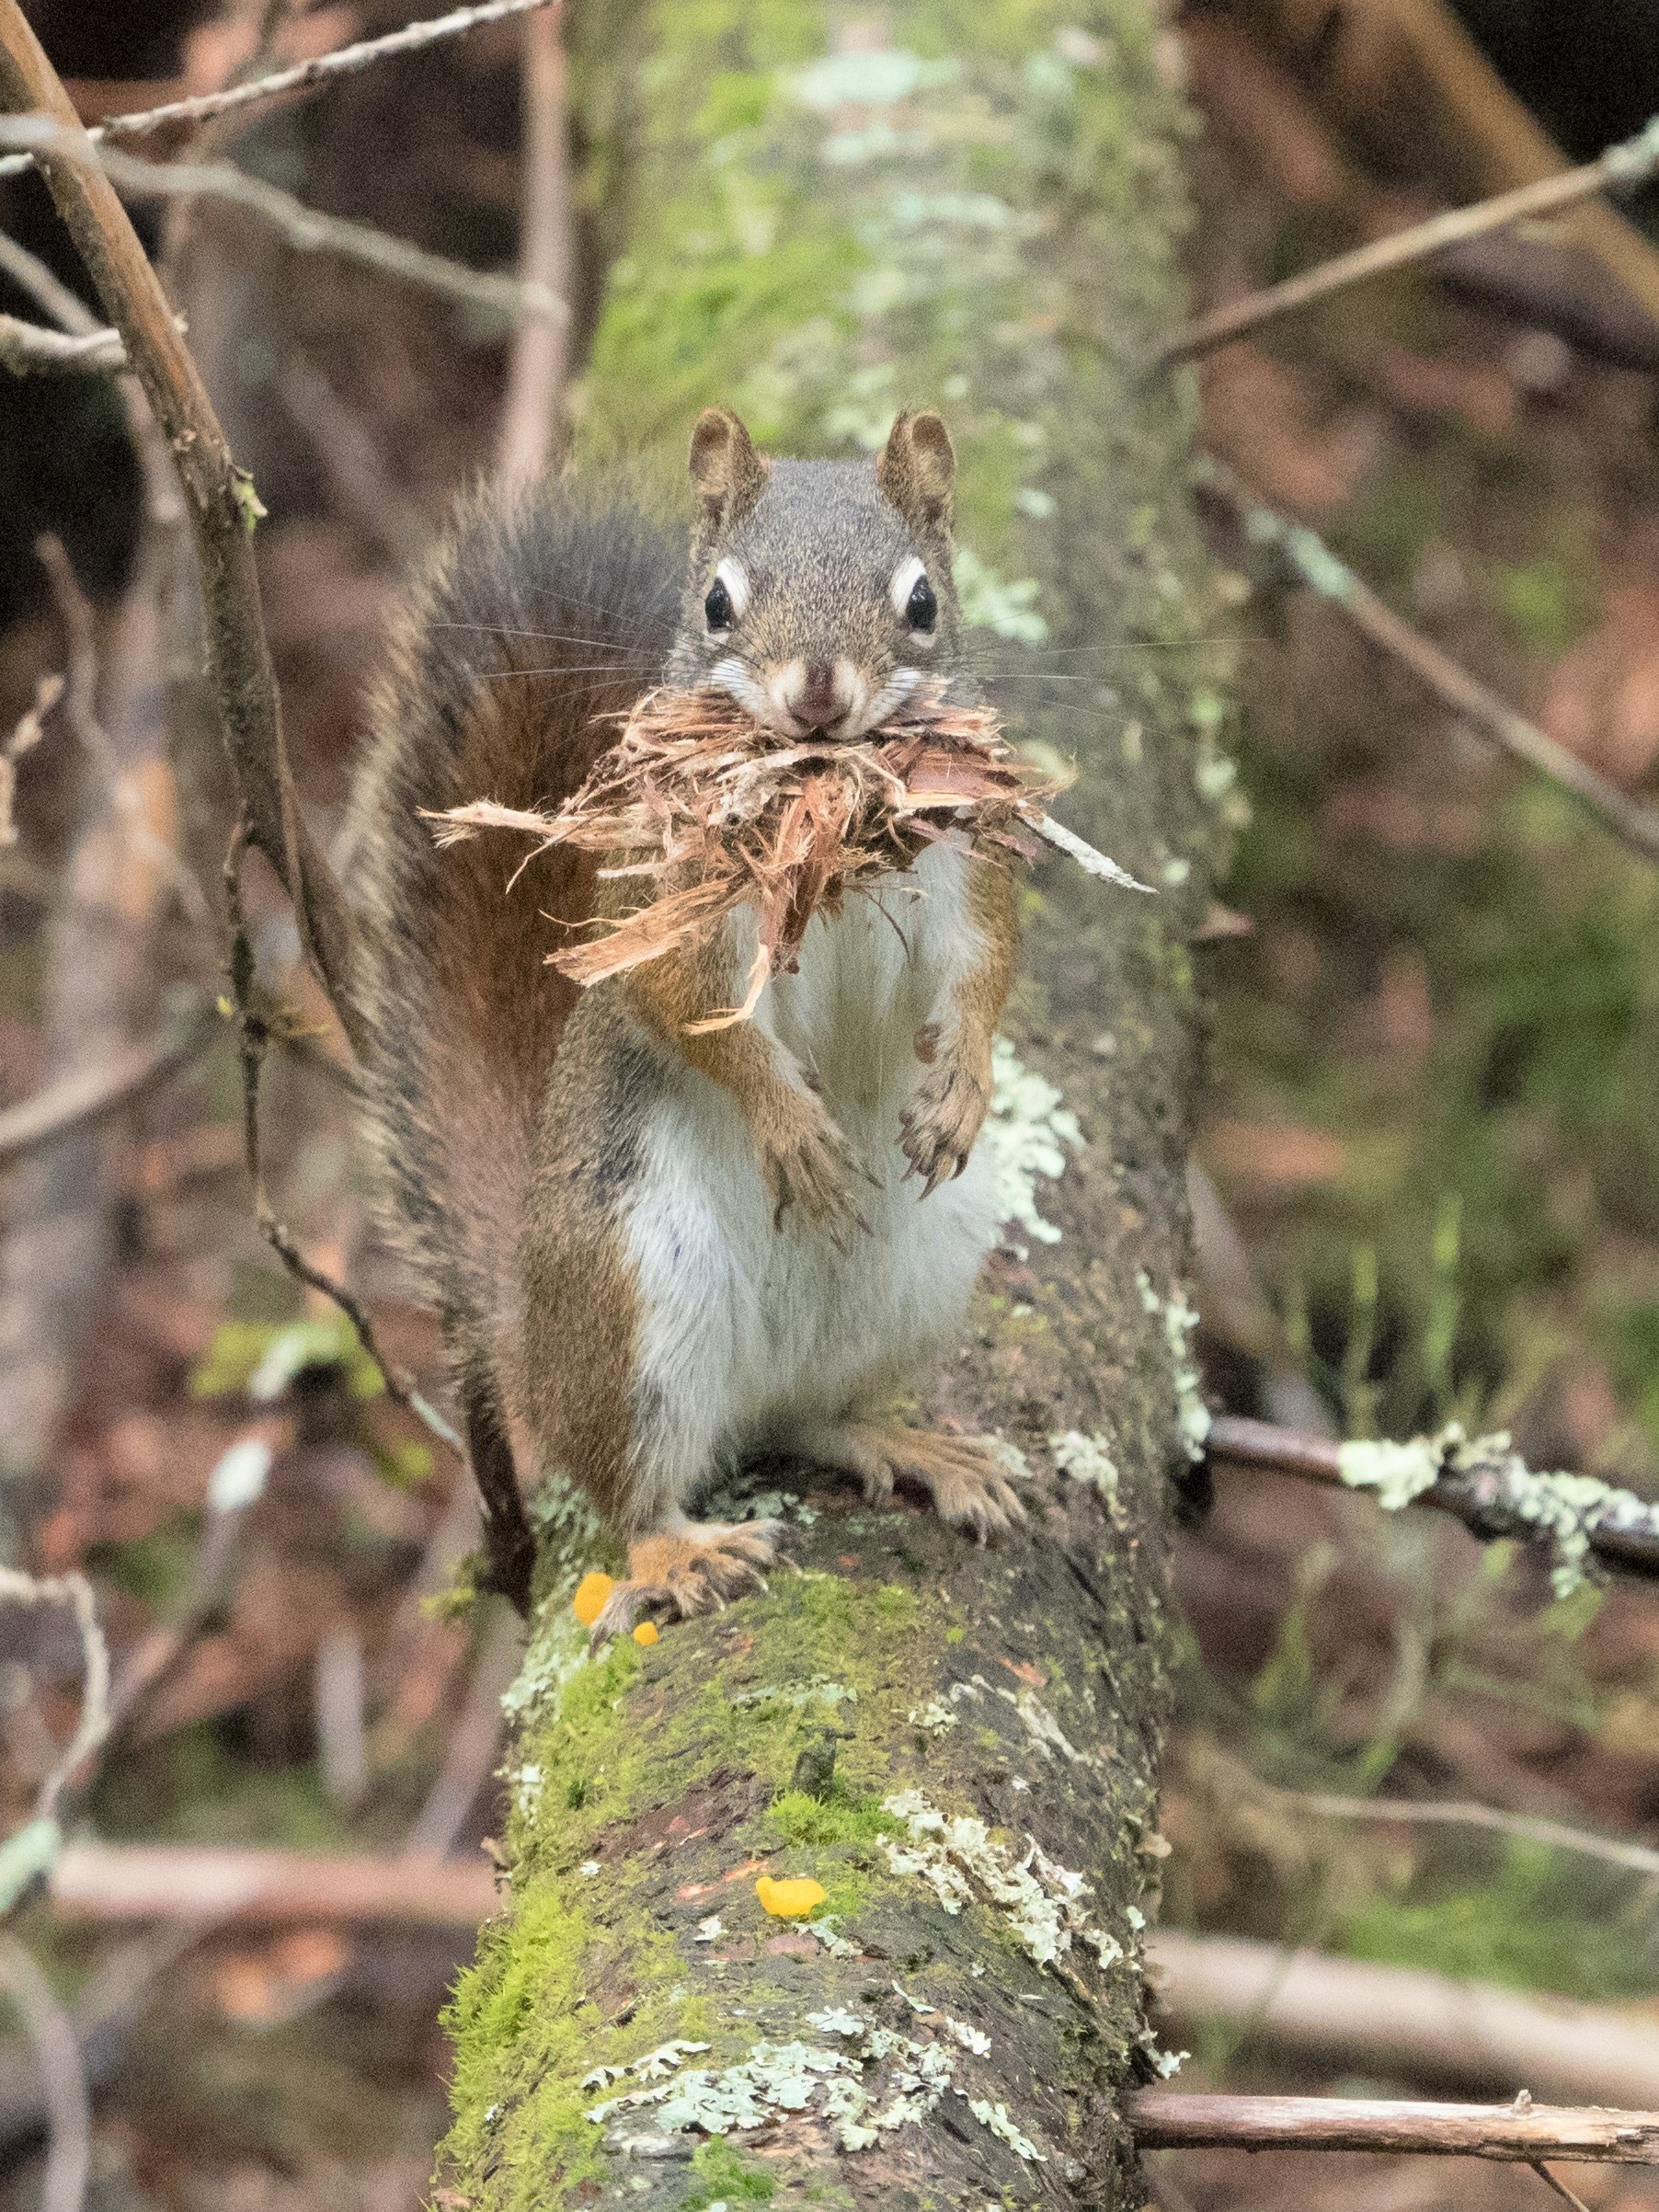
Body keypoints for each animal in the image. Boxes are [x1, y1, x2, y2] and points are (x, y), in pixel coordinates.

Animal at [348, 406, 1026, 1636]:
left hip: (923, 1270)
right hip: (636, 1292)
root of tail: (535, 1347)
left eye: (921, 601)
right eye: (716, 600)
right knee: (629, 1485)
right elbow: (690, 1010)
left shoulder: (966, 867)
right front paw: (790, 1123)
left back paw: (910, 1443)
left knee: (814, 1415)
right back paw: (677, 1552)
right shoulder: (669, 905)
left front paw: (961, 1086)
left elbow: (982, 975)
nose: (817, 693)